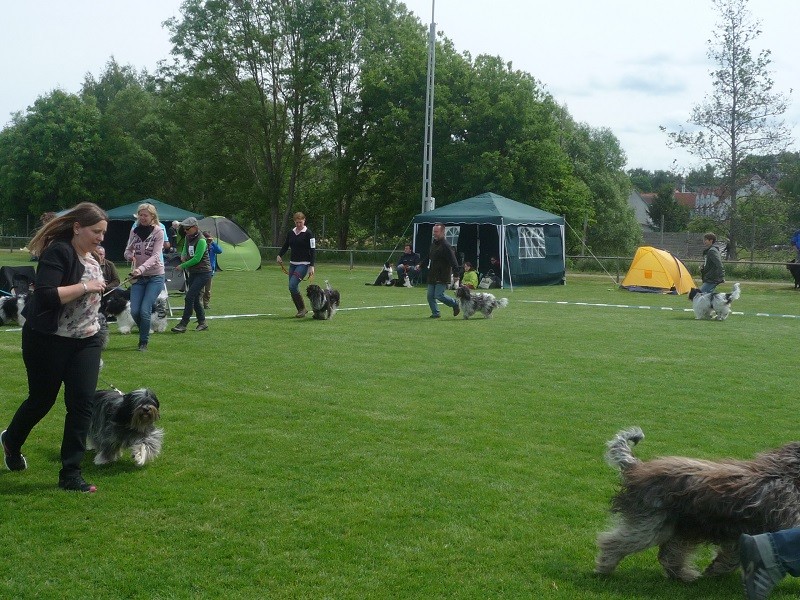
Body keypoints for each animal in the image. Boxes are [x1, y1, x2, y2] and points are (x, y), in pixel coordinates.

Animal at [596, 428, 800, 584]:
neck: (785, 472)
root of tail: (637, 468)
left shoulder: (739, 533)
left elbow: (731, 556)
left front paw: (715, 570)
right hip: (652, 523)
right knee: (614, 542)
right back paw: (604, 567)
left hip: (682, 528)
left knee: (669, 555)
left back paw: (684, 575)